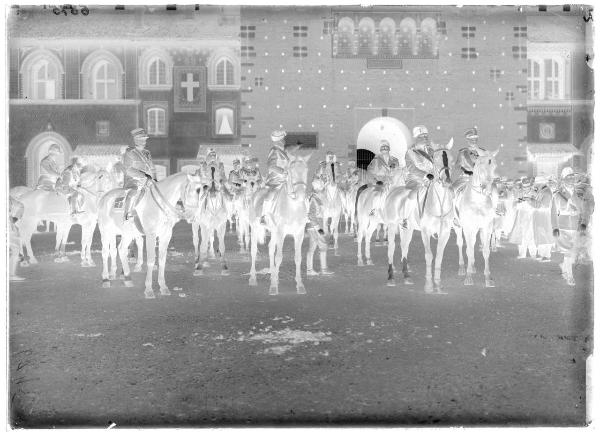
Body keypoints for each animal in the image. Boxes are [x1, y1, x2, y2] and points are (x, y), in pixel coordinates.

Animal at [97, 170, 203, 298]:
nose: (194, 216)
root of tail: (105, 197)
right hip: (105, 231)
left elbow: (162, 260)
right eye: (197, 190)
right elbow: (151, 260)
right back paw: (106, 279)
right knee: (105, 253)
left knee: (121, 249)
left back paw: (127, 278)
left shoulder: (166, 235)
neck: (159, 205)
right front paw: (148, 289)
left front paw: (163, 287)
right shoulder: (151, 235)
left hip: (127, 233)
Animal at [250, 153, 314, 296]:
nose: (300, 194)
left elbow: (298, 258)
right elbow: (278, 257)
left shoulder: (299, 234)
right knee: (253, 251)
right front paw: (273, 287)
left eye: (306, 170)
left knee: (270, 249)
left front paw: (300, 285)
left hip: (274, 232)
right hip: (255, 228)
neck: (293, 208)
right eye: (289, 172)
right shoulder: (281, 232)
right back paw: (253, 278)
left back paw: (274, 276)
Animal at [454, 148, 502, 286]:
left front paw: (488, 278)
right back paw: (463, 268)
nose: (487, 187)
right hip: (457, 226)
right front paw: (468, 277)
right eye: (480, 164)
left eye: (494, 164)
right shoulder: (468, 227)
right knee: (461, 244)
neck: (477, 201)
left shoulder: (486, 227)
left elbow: (486, 251)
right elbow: (469, 250)